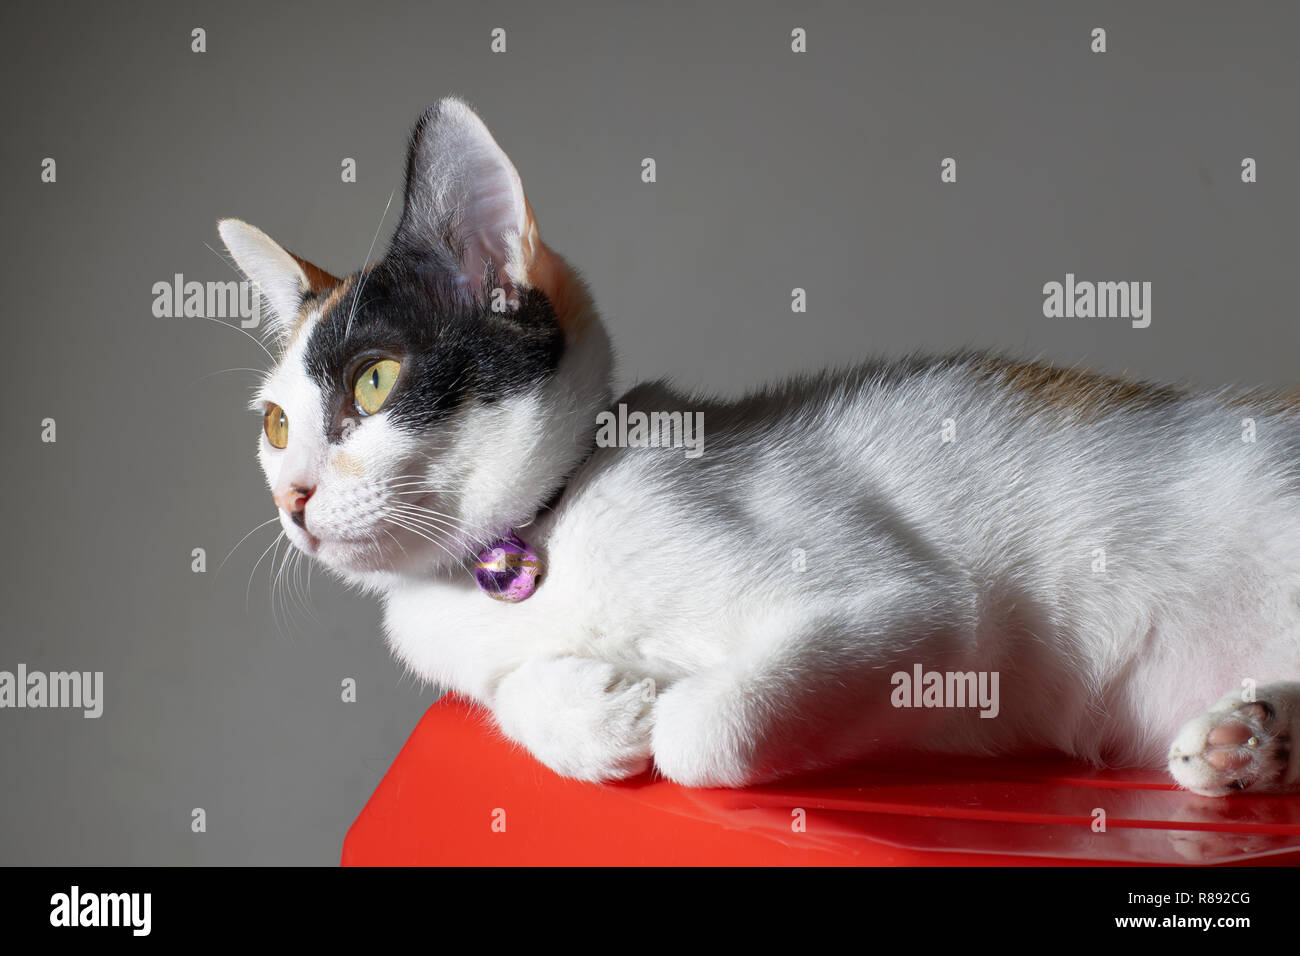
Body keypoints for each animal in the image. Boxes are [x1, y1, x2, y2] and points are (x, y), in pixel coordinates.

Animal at [220, 98, 1300, 801]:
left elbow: (706, 734)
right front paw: (584, 713)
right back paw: (1251, 739)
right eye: (274, 426)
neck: (537, 537)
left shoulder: (915, 611)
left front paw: (659, 713)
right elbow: (503, 692)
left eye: (372, 383)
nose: (292, 499)